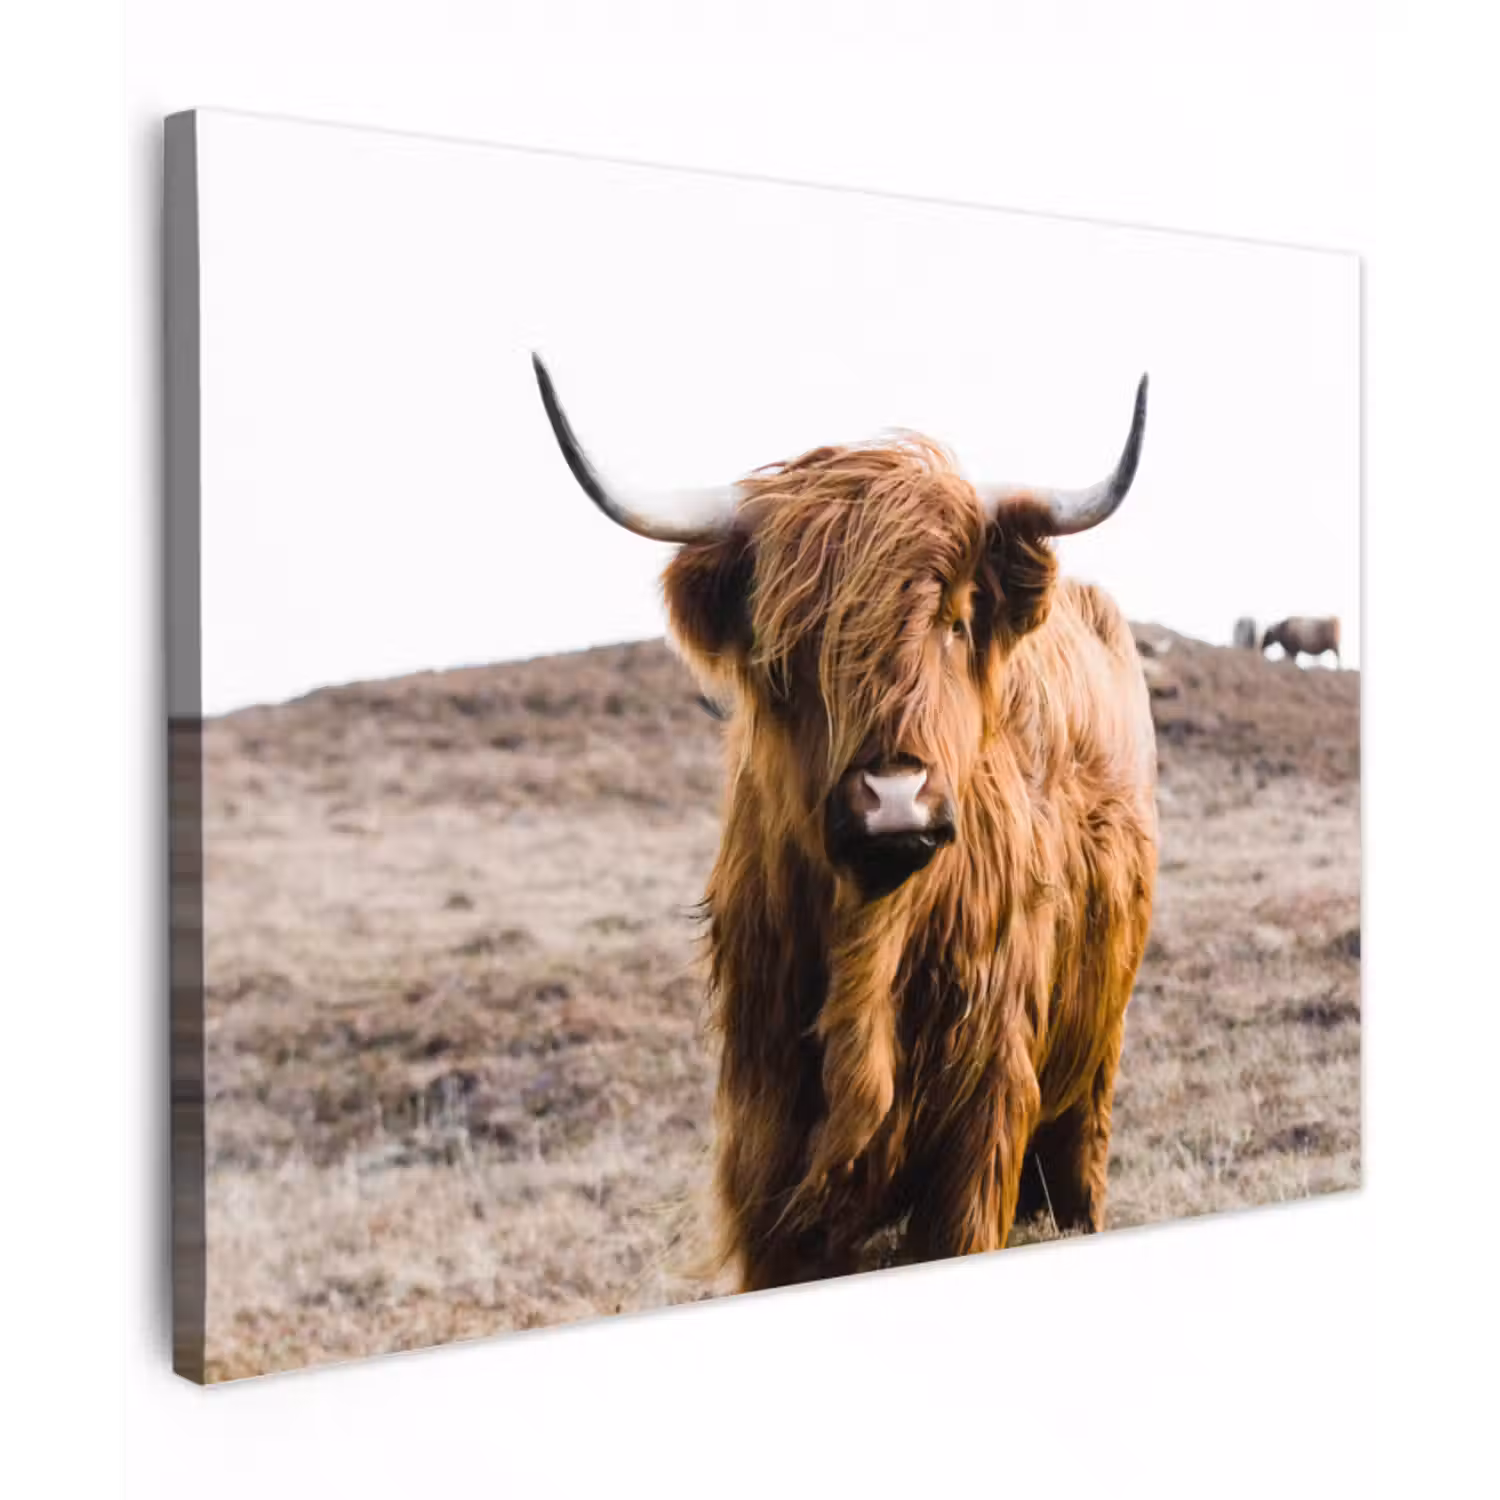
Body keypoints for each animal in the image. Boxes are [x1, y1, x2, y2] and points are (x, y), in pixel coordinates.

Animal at [532, 354, 1159, 1292]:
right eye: (789, 645)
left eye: (955, 621)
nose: (894, 796)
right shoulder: (766, 1143)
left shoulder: (981, 1124)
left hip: (1093, 1065)